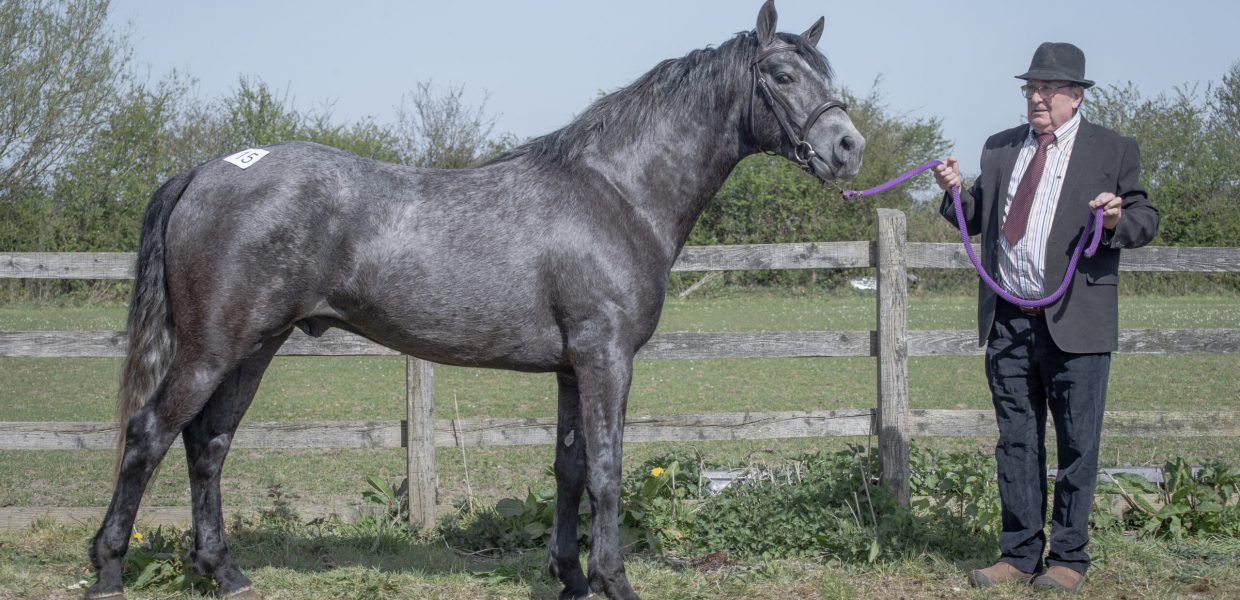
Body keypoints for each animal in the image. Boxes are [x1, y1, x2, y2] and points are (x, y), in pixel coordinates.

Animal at [85, 2, 864, 598]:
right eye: (783, 75)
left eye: (827, 74)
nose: (848, 148)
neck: (615, 192)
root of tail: (205, 171)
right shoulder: (606, 359)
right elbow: (608, 470)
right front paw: (613, 581)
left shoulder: (571, 368)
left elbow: (569, 470)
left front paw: (569, 577)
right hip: (212, 347)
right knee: (149, 435)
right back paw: (108, 573)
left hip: (254, 346)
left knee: (208, 444)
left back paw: (224, 573)